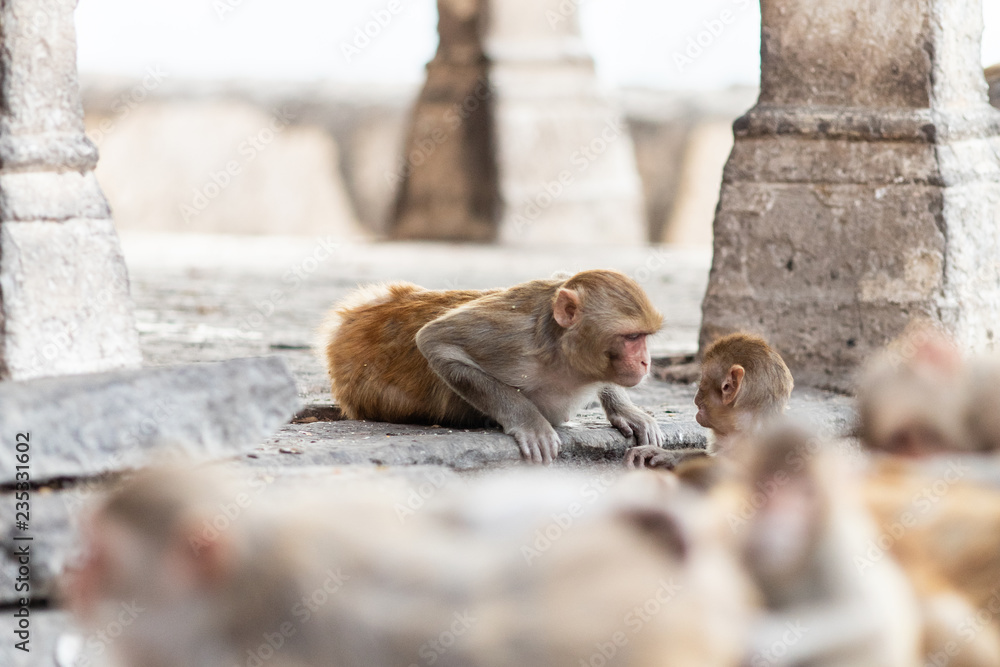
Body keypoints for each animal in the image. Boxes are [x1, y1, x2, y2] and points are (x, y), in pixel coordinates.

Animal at [318, 269, 665, 464]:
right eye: (632, 337)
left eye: (644, 337)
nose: (645, 361)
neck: (561, 351)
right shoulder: (513, 338)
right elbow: (435, 340)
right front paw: (530, 422)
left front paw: (627, 411)